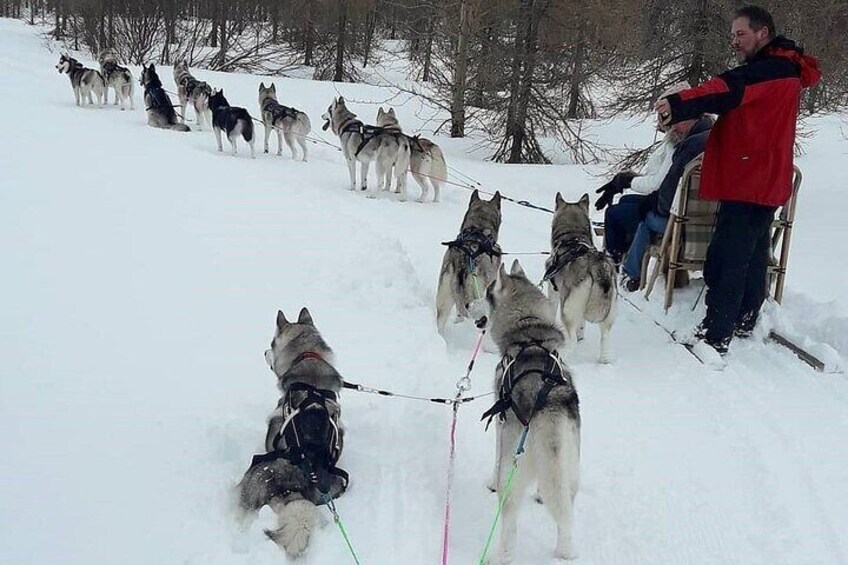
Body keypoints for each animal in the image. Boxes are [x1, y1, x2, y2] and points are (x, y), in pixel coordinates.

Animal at [480, 260, 580, 560]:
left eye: (486, 291)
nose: (475, 312)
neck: (529, 328)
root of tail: (544, 409)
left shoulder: (500, 425)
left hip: (511, 476)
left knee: (509, 523)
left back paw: (500, 556)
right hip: (569, 468)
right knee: (565, 512)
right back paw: (565, 551)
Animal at [544, 193, 616, 362]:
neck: (572, 236)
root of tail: (598, 267)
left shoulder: (553, 291)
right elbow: (582, 324)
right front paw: (582, 333)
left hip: (567, 309)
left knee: (572, 341)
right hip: (608, 315)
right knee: (604, 338)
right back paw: (603, 360)